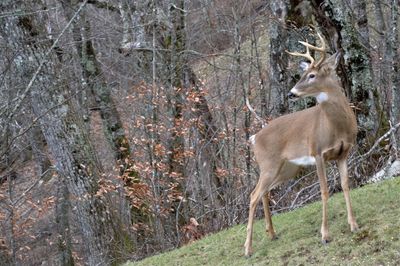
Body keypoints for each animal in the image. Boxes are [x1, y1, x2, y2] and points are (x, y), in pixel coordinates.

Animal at [244, 32, 360, 256]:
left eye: (312, 75)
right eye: (303, 74)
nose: (291, 93)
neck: (336, 126)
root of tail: (254, 138)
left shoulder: (343, 153)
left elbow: (345, 185)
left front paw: (354, 225)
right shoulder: (318, 152)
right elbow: (324, 190)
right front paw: (325, 235)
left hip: (287, 168)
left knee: (264, 192)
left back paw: (272, 233)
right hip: (268, 164)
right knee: (253, 195)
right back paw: (248, 248)